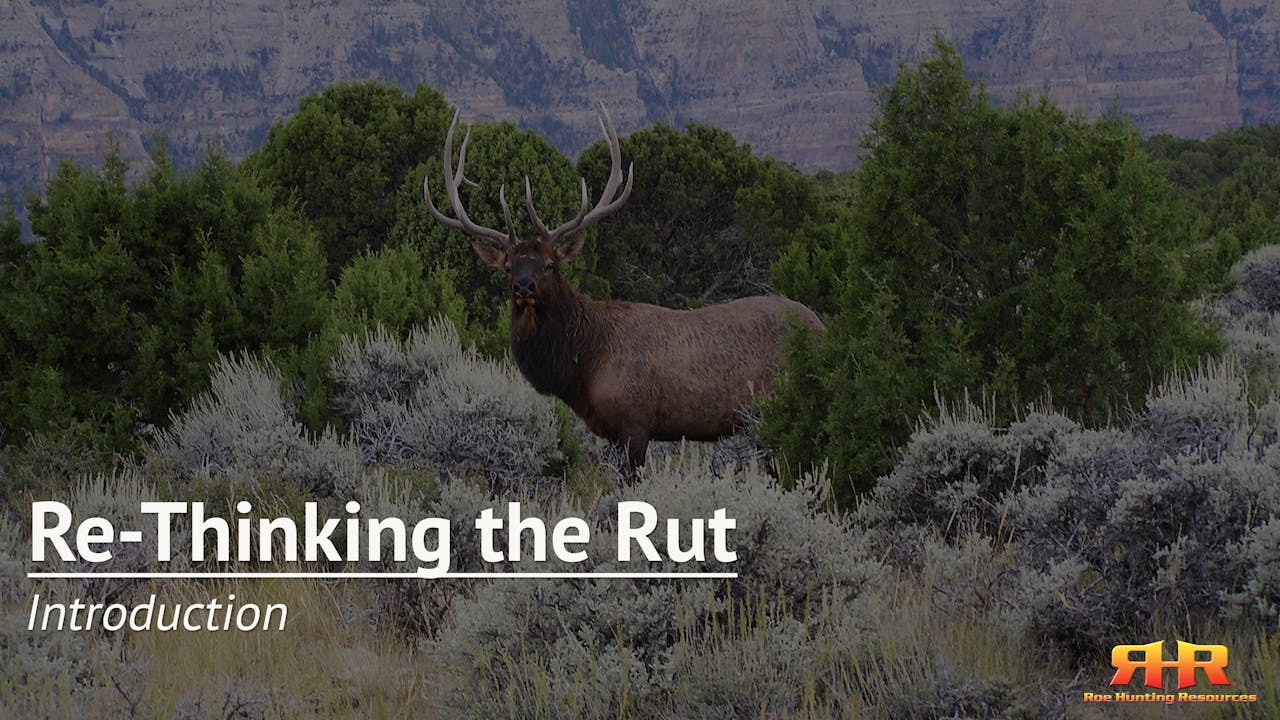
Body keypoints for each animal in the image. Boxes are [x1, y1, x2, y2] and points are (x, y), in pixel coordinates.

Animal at [423, 105, 823, 469]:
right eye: (508, 266)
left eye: (551, 264)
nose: (524, 287)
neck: (584, 364)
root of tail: (822, 325)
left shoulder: (635, 420)